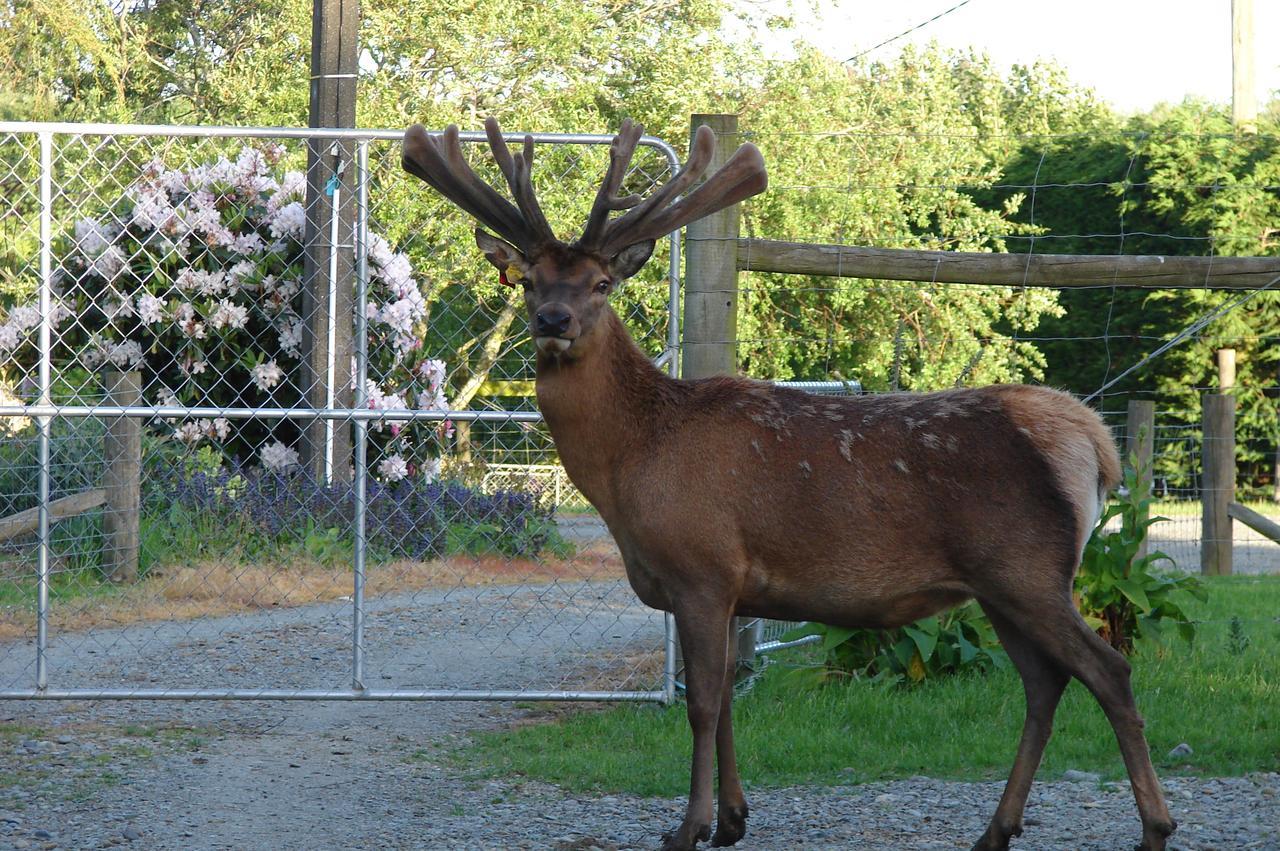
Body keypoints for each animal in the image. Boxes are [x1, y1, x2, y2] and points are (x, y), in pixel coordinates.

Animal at [401, 117, 1177, 849]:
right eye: (530, 279)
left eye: (601, 283)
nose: (552, 320)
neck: (633, 465)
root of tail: (1094, 443)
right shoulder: (734, 586)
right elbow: (729, 698)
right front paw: (734, 819)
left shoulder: (702, 567)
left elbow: (702, 703)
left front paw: (688, 826)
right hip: (1002, 585)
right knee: (1046, 682)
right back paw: (997, 829)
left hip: (1026, 568)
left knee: (1109, 670)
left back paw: (1154, 826)